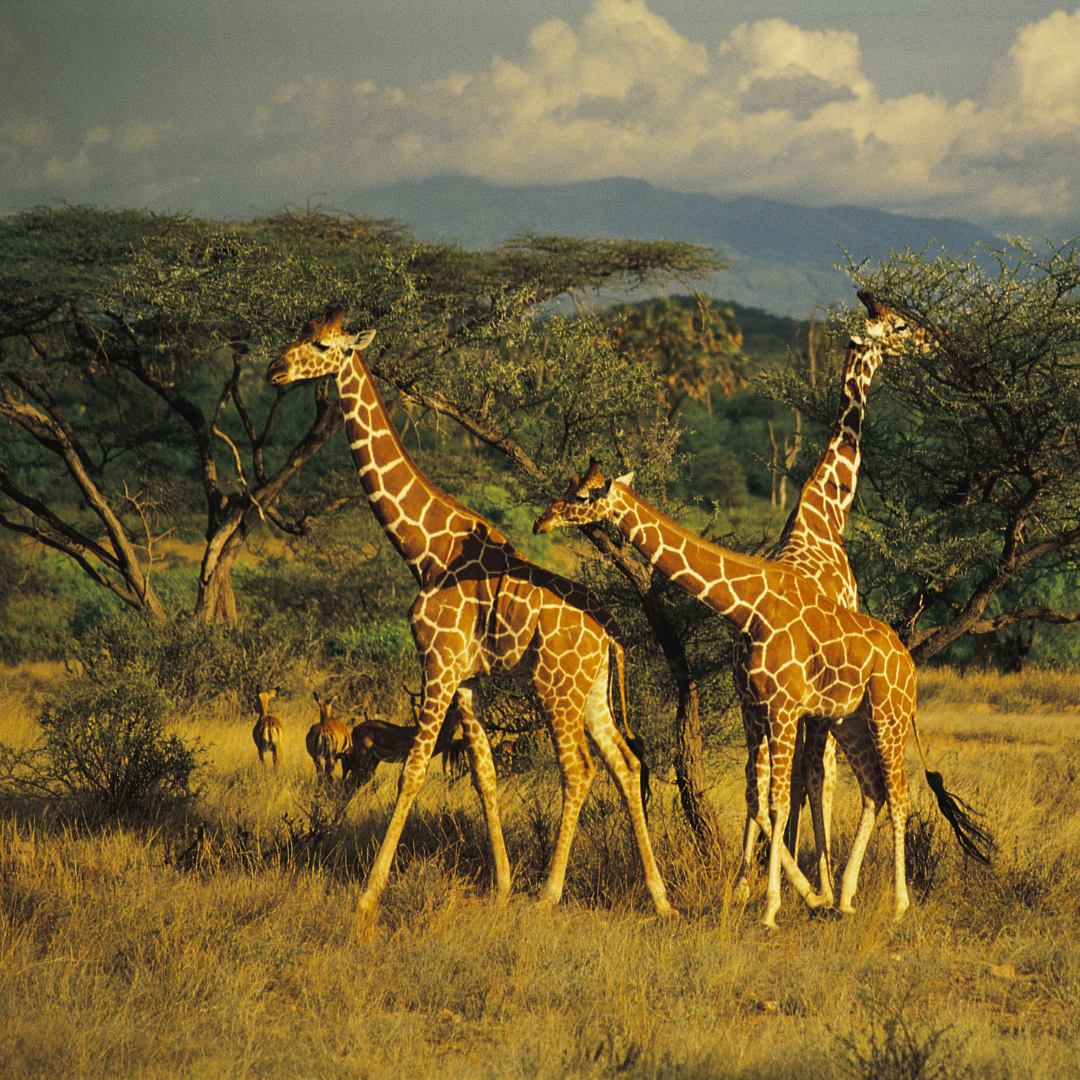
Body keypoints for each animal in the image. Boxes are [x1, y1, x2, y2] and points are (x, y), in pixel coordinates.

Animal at [265, 306, 669, 920]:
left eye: (323, 344)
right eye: (300, 333)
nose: (275, 370)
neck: (425, 550)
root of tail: (612, 635)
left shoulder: (438, 664)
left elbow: (412, 772)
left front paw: (368, 895)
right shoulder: (467, 678)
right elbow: (483, 774)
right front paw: (500, 885)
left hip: (555, 688)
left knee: (579, 770)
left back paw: (550, 893)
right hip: (592, 691)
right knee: (624, 766)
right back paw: (659, 896)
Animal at [535, 464, 989, 928]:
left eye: (585, 496)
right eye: (570, 487)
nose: (542, 521)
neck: (748, 605)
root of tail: (909, 662)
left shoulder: (783, 707)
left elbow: (778, 802)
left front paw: (771, 908)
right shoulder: (754, 708)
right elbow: (757, 796)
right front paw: (767, 896)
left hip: (889, 714)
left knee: (899, 795)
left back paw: (898, 904)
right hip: (850, 722)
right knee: (874, 791)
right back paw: (845, 898)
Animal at [743, 291, 928, 907]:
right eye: (900, 325)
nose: (930, 341)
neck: (827, 509)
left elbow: (805, 779)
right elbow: (817, 777)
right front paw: (823, 884)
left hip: (757, 701)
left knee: (762, 778)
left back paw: (748, 882)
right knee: (800, 776)